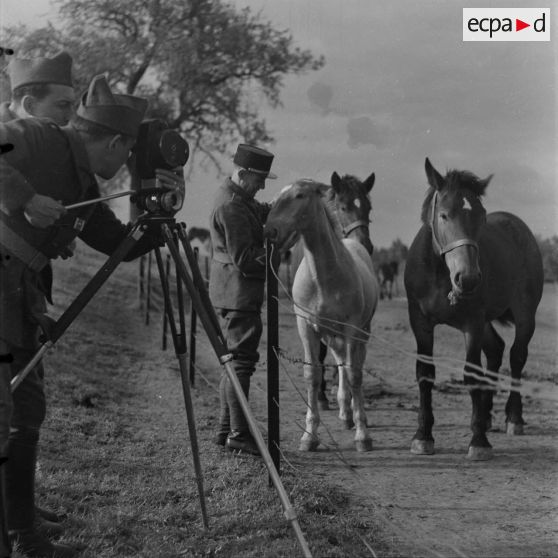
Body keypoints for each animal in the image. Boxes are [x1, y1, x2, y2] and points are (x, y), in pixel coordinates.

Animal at [266, 182, 380, 452]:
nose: (270, 230)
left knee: (354, 364)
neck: (323, 277)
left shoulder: (350, 329)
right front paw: (309, 436)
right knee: (340, 361)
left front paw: (363, 436)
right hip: (330, 335)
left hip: (361, 333)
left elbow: (354, 374)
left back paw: (354, 416)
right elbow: (312, 375)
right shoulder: (306, 327)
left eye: (299, 195)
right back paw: (344, 412)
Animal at [404, 159, 544, 464]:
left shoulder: (472, 324)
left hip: (524, 314)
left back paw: (513, 418)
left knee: (517, 357)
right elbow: (425, 373)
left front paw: (478, 441)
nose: (467, 278)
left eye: (481, 216)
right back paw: (485, 415)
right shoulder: (420, 323)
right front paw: (423, 436)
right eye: (444, 215)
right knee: (495, 351)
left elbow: (471, 375)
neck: (441, 274)